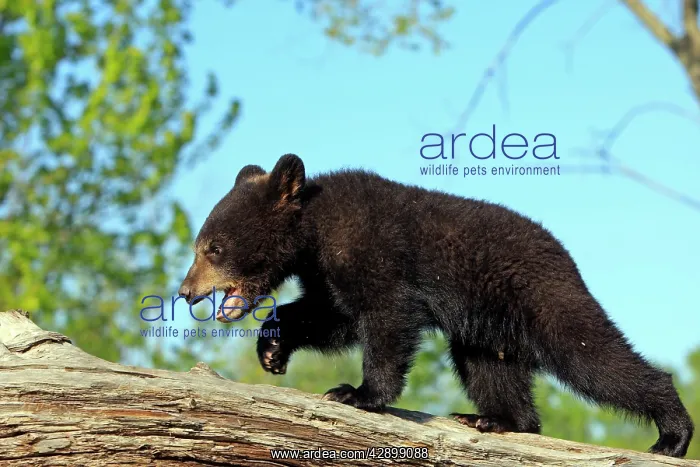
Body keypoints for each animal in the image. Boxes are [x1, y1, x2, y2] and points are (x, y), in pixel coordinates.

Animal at [178, 153, 694, 458]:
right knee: (489, 369)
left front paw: (356, 393)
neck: (315, 233)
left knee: (593, 356)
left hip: (546, 298)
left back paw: (672, 433)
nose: (185, 291)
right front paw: (272, 351)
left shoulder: (374, 251)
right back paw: (494, 418)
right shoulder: (326, 272)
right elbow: (331, 316)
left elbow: (386, 319)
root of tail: (565, 256)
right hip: (487, 328)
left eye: (214, 248)